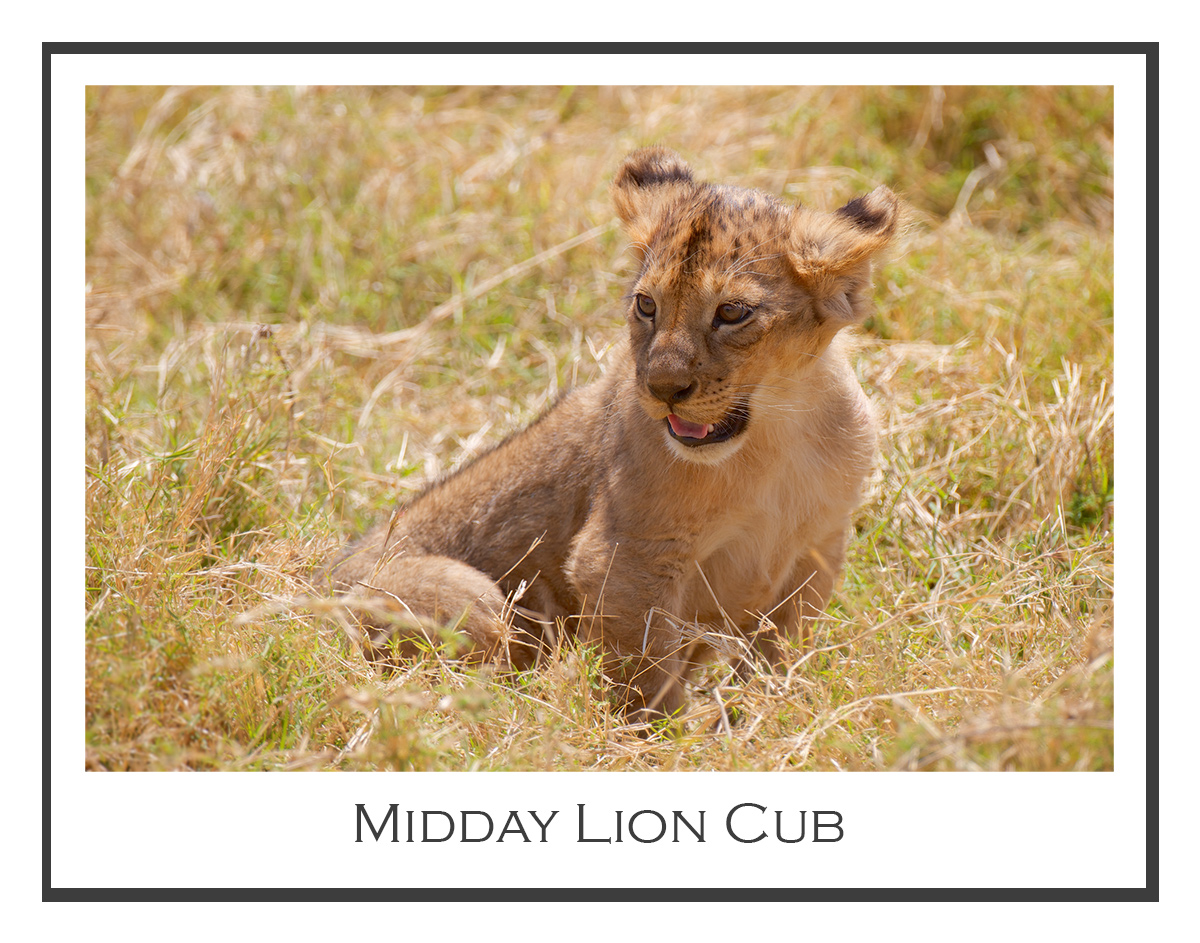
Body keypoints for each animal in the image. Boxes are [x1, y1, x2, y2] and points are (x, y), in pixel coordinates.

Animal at [326, 147, 899, 721]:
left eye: (733, 312)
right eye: (647, 305)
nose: (663, 388)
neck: (775, 434)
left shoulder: (816, 550)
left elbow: (778, 652)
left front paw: (765, 712)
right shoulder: (625, 558)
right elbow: (645, 676)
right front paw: (668, 735)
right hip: (468, 596)